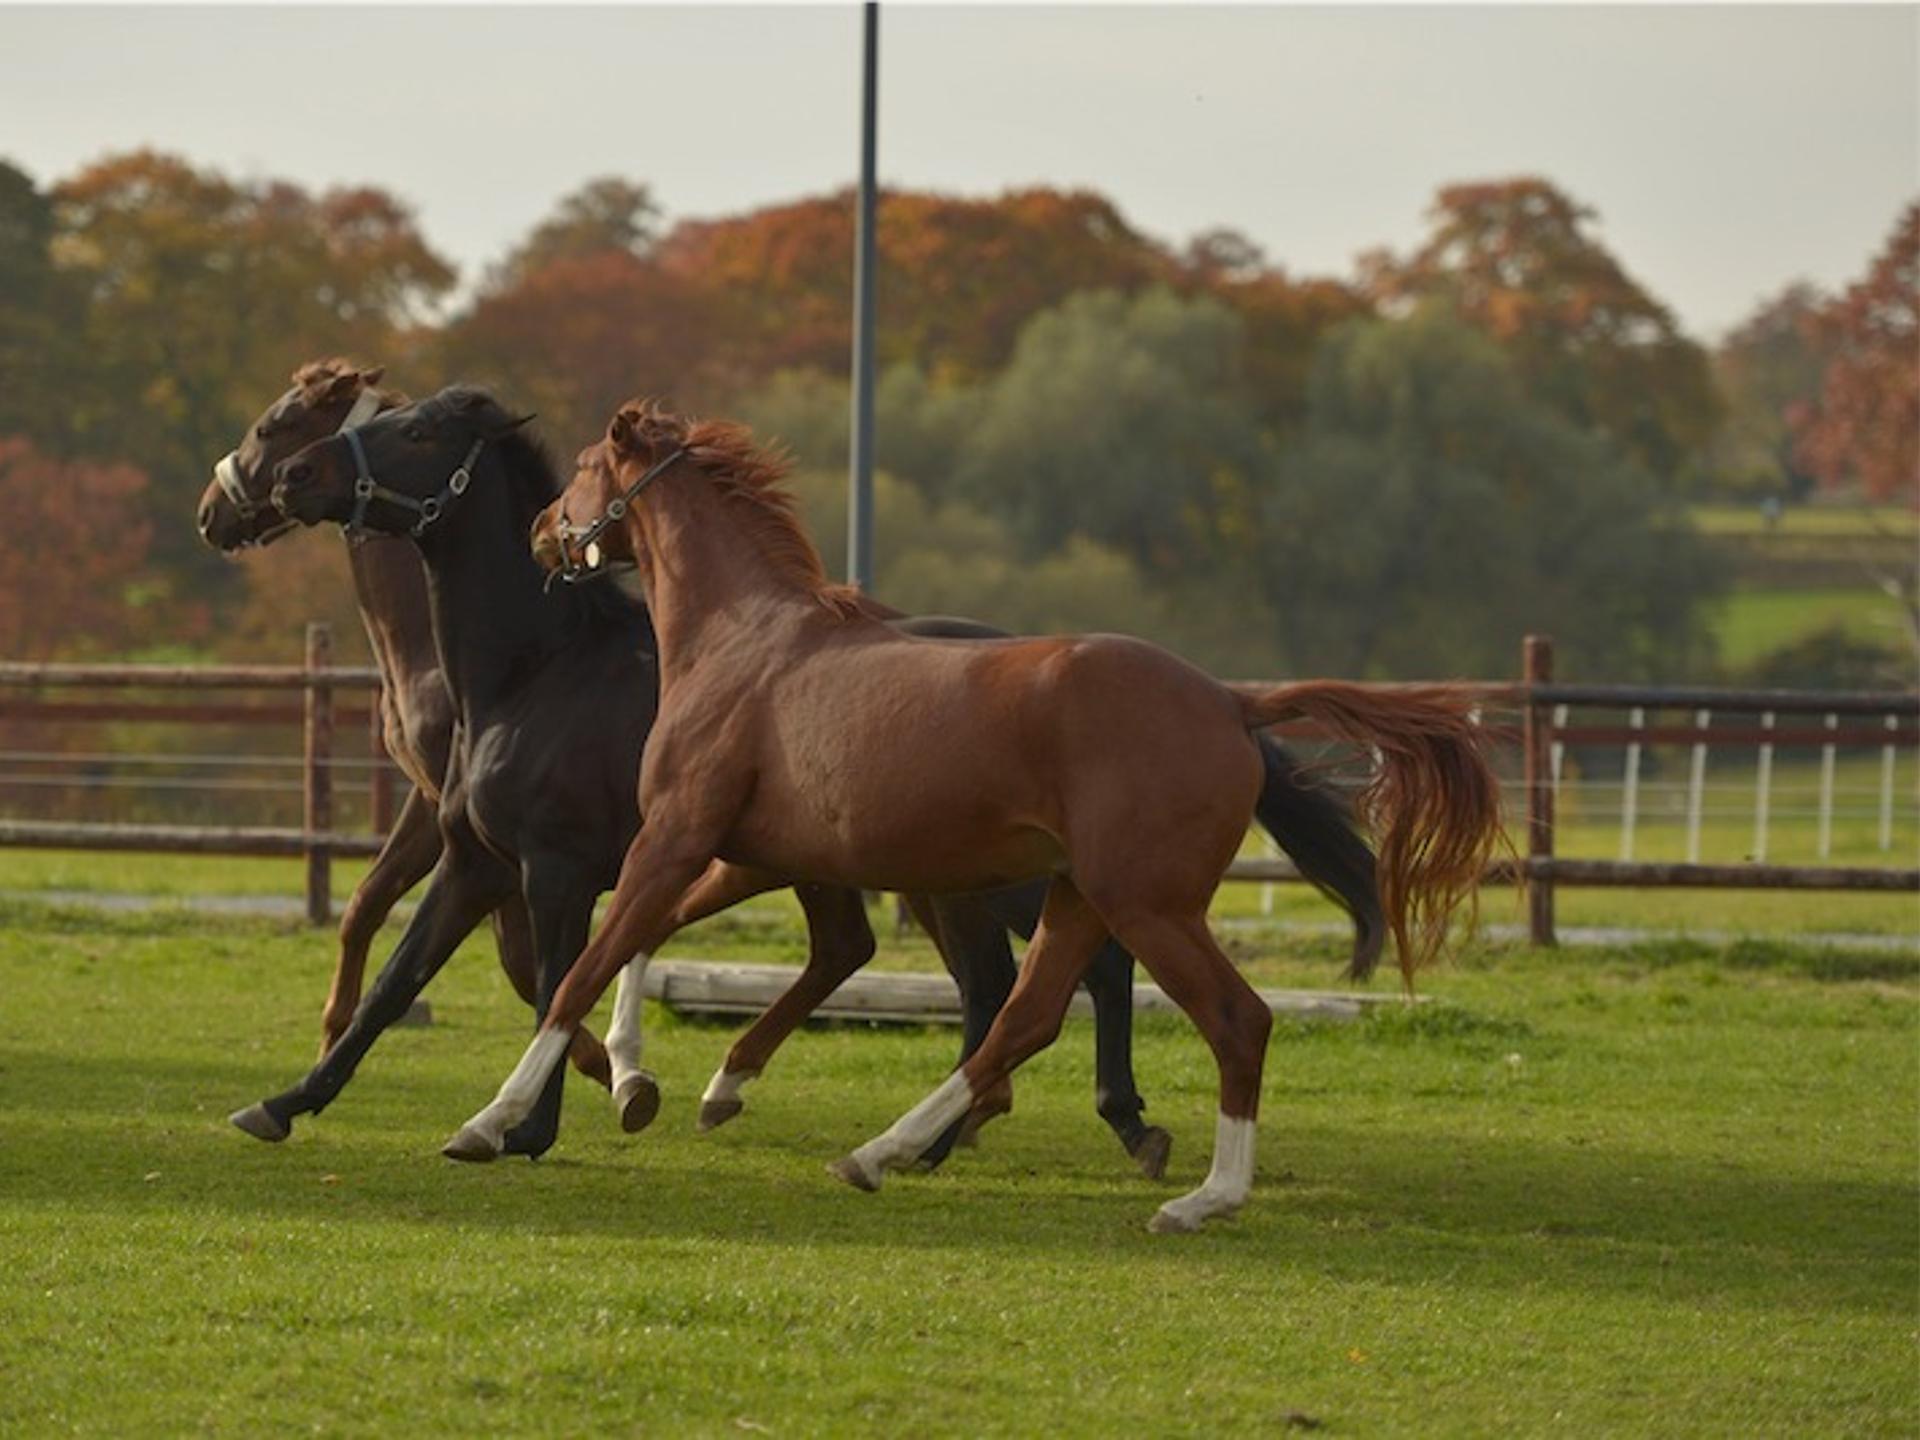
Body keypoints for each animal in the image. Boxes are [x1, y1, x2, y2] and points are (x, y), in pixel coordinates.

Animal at [263, 386, 1391, 1175]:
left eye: (415, 431)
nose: (289, 479)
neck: (537, 669)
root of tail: (1226, 703)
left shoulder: (575, 862)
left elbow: (561, 976)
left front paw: (535, 1115)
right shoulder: (482, 860)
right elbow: (411, 977)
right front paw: (286, 1100)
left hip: (1023, 883)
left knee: (1057, 981)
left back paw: (1055, 1127)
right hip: (942, 878)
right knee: (969, 978)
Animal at [458, 398, 1505, 1233]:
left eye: (584, 468)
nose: (544, 531)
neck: (740, 641)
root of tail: (1230, 703)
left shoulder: (676, 838)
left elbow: (582, 969)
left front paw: (491, 1123)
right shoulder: (744, 855)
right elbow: (644, 946)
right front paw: (662, 1083)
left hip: (1145, 903)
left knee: (1232, 1020)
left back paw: (1202, 1198)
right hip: (1078, 896)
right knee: (1026, 1016)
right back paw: (878, 1152)